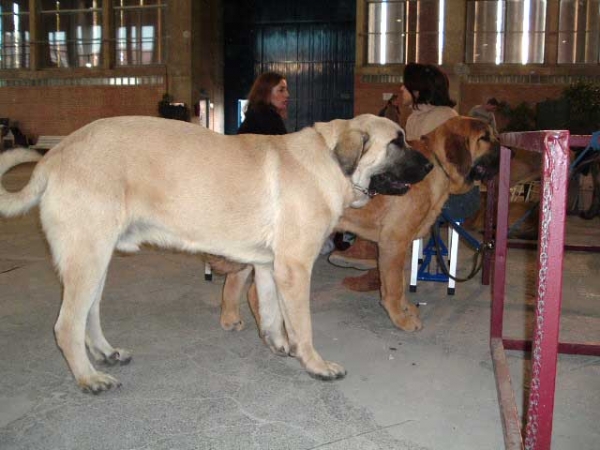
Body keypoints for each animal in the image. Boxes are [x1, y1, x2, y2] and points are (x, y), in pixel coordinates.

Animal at [0, 114, 432, 392]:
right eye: (396, 142)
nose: (431, 166)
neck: (328, 160)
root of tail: (55, 155)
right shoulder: (295, 267)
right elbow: (303, 325)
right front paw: (315, 364)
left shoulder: (269, 266)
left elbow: (271, 313)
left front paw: (278, 345)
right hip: (87, 258)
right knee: (66, 325)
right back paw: (89, 378)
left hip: (96, 260)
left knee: (88, 315)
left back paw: (105, 354)